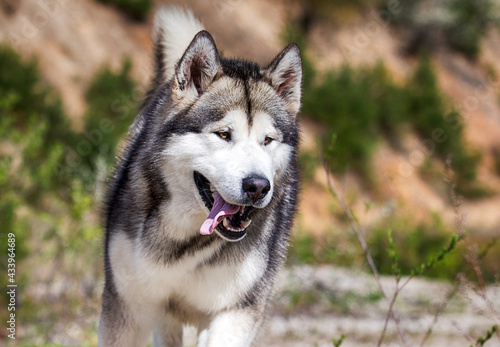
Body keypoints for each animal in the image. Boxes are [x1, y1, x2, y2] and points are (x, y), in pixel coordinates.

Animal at [97, 6, 300, 347]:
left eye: (268, 140)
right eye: (223, 134)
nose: (258, 186)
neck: (183, 242)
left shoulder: (235, 313)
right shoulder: (126, 306)